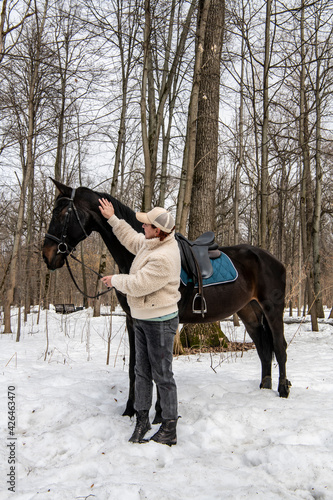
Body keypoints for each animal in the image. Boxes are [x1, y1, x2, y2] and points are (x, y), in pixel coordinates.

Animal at [42, 180, 290, 422]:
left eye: (61, 213)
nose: (47, 255)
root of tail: (272, 260)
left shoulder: (163, 321)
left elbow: (159, 367)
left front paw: (160, 414)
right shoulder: (133, 321)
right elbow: (135, 367)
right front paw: (130, 410)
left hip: (272, 308)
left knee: (279, 346)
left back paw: (283, 390)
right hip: (249, 312)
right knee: (264, 349)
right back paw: (264, 388)